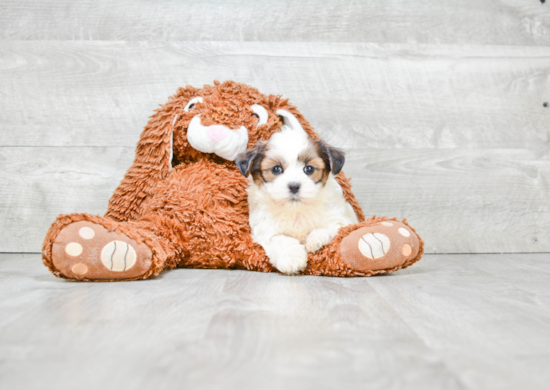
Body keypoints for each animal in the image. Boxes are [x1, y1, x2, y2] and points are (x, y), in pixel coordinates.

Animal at [236, 114, 358, 276]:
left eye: (309, 169)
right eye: (276, 169)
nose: (294, 186)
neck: (296, 210)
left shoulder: (342, 219)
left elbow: (333, 226)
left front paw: (315, 239)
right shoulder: (265, 230)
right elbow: (281, 239)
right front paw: (292, 259)